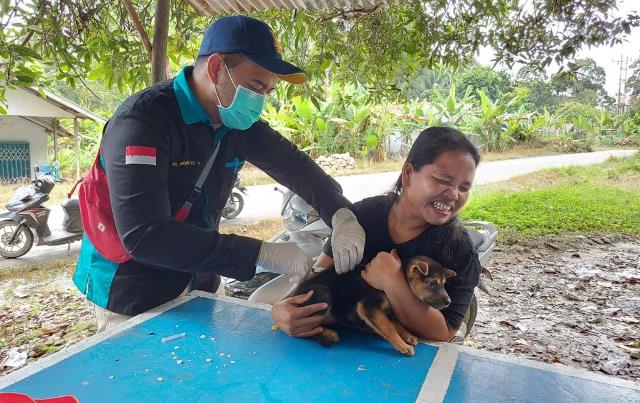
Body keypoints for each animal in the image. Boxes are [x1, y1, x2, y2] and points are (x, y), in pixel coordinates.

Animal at [290, 256, 456, 356]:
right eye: (432, 283)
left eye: (444, 284)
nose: (449, 302)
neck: (396, 284)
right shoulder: (369, 307)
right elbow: (388, 328)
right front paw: (402, 345)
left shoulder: (388, 311)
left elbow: (397, 324)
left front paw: (408, 335)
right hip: (322, 296)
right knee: (302, 329)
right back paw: (327, 333)